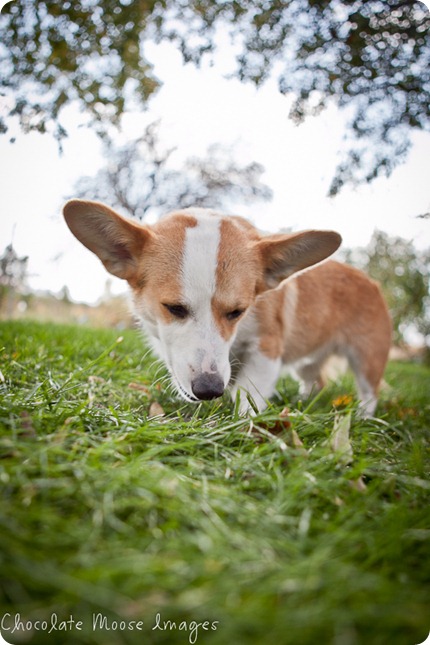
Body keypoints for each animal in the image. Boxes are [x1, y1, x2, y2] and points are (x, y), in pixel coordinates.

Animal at [64, 199, 394, 416]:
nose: (209, 390)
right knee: (317, 381)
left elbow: (248, 394)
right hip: (308, 361)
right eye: (174, 308)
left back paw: (363, 418)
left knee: (370, 393)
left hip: (367, 358)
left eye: (237, 312)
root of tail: (372, 282)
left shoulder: (267, 348)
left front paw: (244, 425)